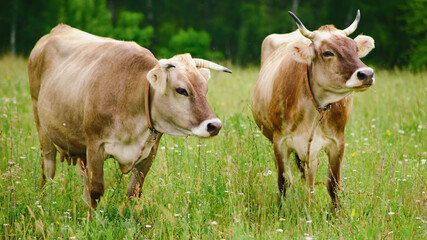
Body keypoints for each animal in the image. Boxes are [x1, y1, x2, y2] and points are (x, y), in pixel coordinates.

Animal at [28, 24, 232, 208]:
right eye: (182, 90)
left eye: (205, 89)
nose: (215, 125)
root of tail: (58, 29)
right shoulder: (95, 146)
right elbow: (95, 191)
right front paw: (92, 222)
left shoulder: (150, 152)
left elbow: (134, 192)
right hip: (42, 127)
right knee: (48, 170)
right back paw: (44, 205)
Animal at [252, 10, 376, 207]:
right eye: (328, 52)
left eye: (356, 50)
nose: (367, 74)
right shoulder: (280, 142)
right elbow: (284, 182)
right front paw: (282, 211)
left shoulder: (337, 142)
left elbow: (333, 185)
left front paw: (334, 214)